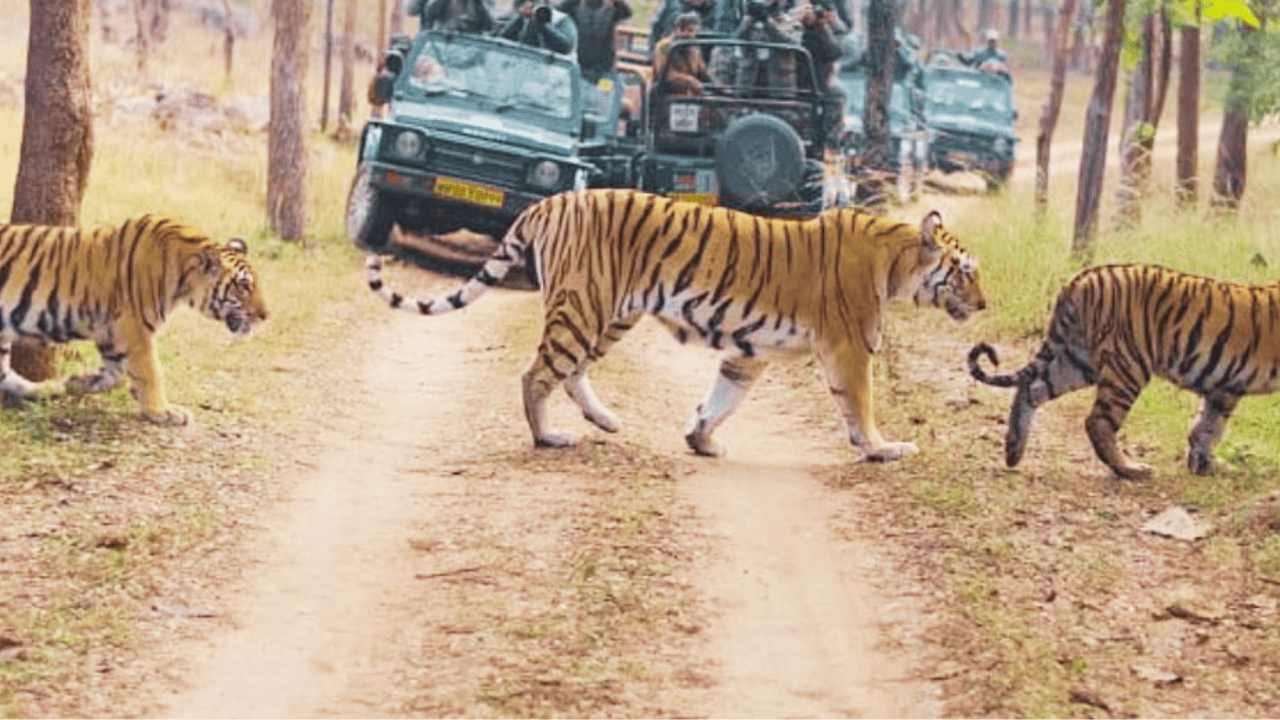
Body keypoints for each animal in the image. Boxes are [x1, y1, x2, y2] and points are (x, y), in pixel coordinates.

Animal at [0, 215, 268, 426]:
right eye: (243, 285)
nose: (266, 315)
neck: (183, 280)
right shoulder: (134, 328)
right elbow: (151, 371)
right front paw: (162, 411)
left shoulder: (110, 332)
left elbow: (116, 374)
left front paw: (81, 381)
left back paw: (43, 389)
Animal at [366, 188, 986, 461]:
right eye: (966, 272)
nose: (984, 305)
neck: (899, 261)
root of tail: (550, 201)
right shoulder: (850, 346)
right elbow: (859, 403)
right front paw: (883, 447)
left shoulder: (749, 351)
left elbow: (722, 398)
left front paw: (700, 440)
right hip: (585, 305)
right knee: (536, 373)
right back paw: (549, 438)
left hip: (611, 313)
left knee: (570, 372)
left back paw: (606, 421)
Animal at [968, 263, 1280, 480]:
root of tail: (1079, 278)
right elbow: (1207, 427)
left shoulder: (1223, 389)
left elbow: (1206, 427)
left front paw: (1205, 466)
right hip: (1128, 366)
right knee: (1098, 421)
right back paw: (1131, 470)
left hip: (1078, 361)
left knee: (1031, 388)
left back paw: (1013, 451)